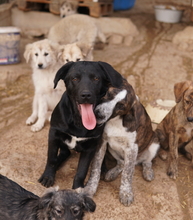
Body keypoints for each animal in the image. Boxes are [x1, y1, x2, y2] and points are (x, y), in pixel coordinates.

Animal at [38, 60, 123, 189]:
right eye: (75, 78)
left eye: (96, 78)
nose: (86, 95)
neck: (78, 121)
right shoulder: (54, 133)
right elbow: (51, 159)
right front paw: (48, 176)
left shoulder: (91, 146)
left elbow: (82, 171)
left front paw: (78, 188)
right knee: (65, 153)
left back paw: (103, 169)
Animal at [82, 78, 160, 206]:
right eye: (108, 94)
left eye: (121, 106)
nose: (98, 114)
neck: (116, 120)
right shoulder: (102, 142)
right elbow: (96, 167)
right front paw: (90, 188)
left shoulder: (132, 148)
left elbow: (127, 173)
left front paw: (126, 193)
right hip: (112, 149)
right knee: (121, 163)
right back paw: (112, 173)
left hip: (155, 142)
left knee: (146, 161)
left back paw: (148, 172)